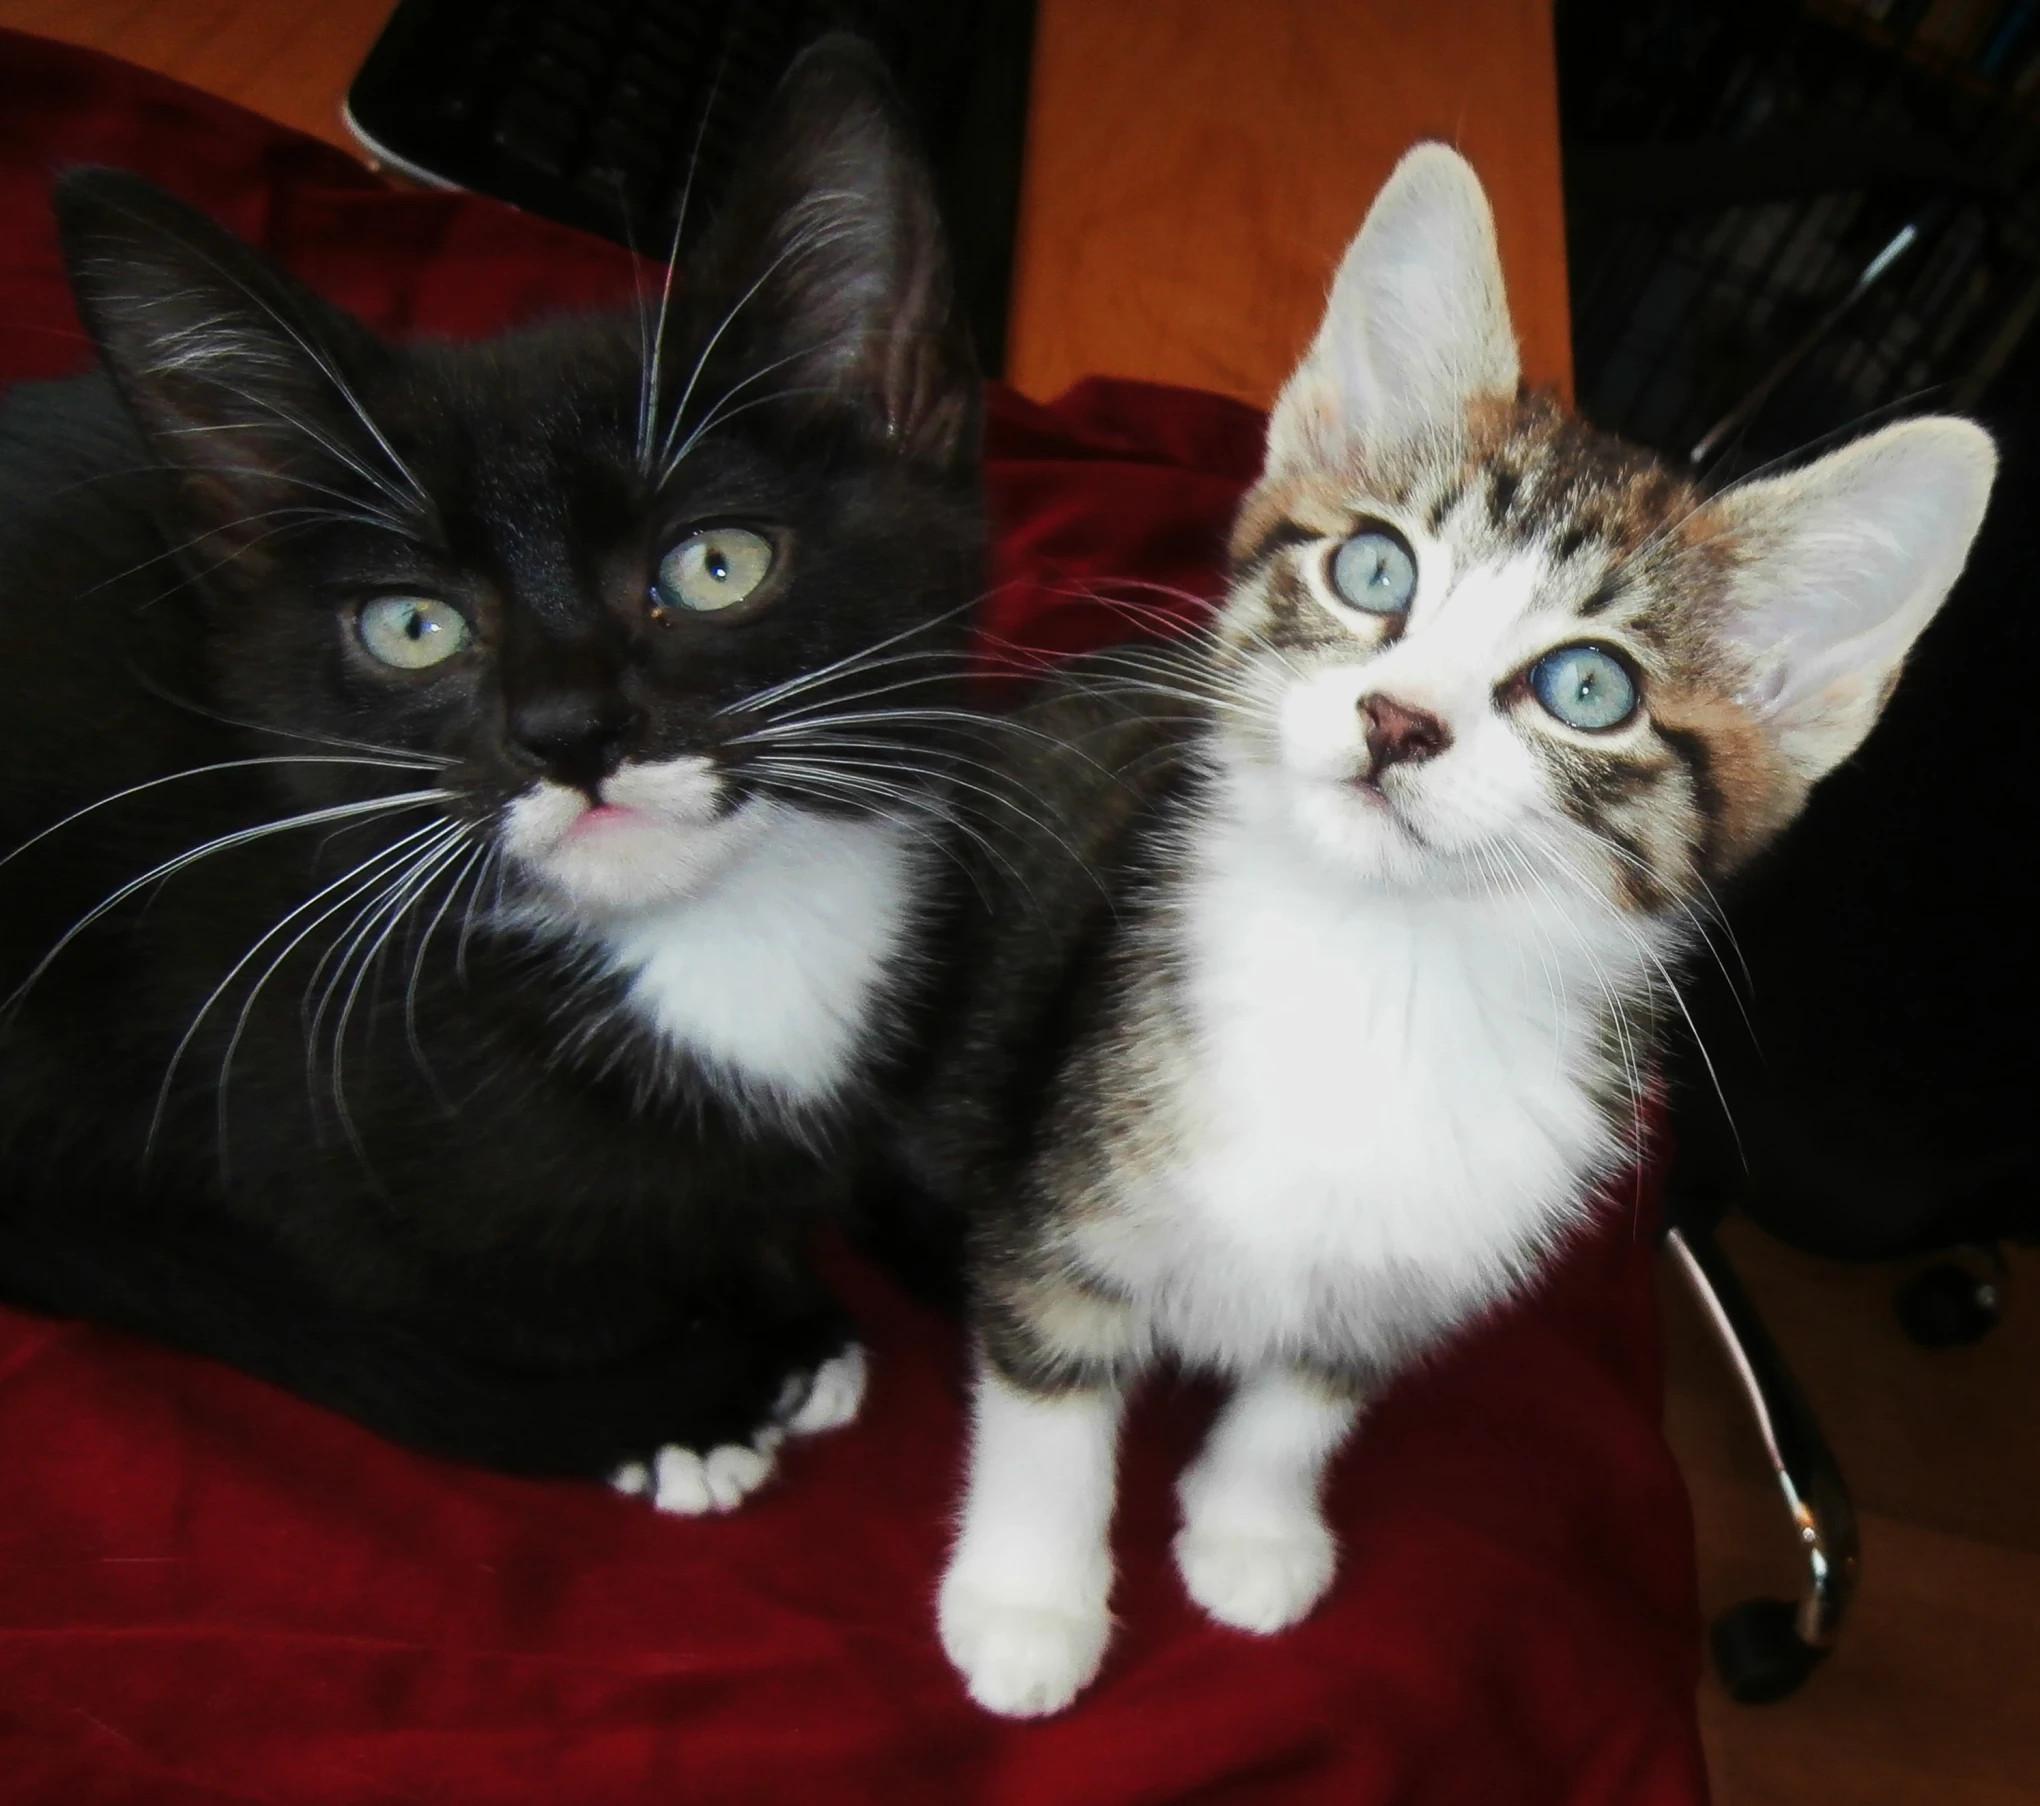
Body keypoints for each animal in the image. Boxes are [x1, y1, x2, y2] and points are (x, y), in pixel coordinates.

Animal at [0, 38, 979, 1510]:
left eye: (716, 563)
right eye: (414, 627)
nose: (569, 730)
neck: (715, 943)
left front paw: (786, 1304)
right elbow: (534, 1305)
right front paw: (694, 1396)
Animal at [901, 147, 1999, 1714]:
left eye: (1590, 687)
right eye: (1374, 572)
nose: (1399, 717)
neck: (1386, 967)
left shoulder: (1430, 1259)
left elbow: (1308, 1396)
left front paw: (1250, 1528)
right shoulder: (1066, 1183)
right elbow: (1050, 1377)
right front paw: (1029, 1597)